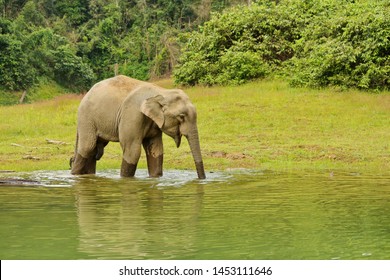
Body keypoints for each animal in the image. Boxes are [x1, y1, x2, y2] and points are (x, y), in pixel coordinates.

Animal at [71, 75, 207, 179]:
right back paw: (75, 175)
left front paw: (155, 178)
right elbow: (133, 151)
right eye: (181, 117)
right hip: (87, 118)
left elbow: (156, 150)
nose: (201, 179)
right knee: (88, 147)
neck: (161, 92)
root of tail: (87, 92)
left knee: (94, 150)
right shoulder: (133, 114)